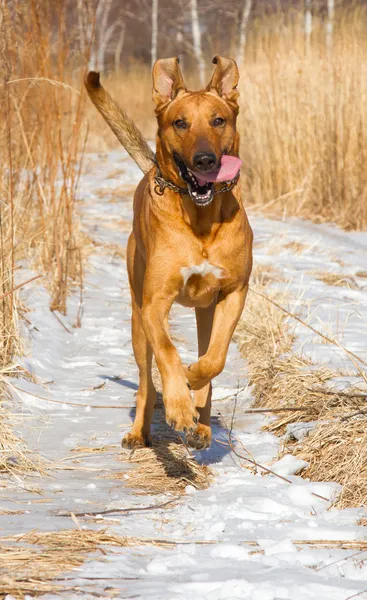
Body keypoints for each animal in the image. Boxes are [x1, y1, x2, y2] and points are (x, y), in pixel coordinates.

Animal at [85, 57, 253, 450]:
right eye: (180, 123)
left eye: (218, 120)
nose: (205, 160)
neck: (201, 219)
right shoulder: (154, 303)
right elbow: (167, 351)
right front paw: (177, 404)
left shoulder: (234, 293)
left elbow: (215, 358)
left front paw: (193, 382)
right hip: (136, 318)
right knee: (146, 380)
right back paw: (140, 431)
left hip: (206, 312)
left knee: (208, 355)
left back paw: (201, 423)